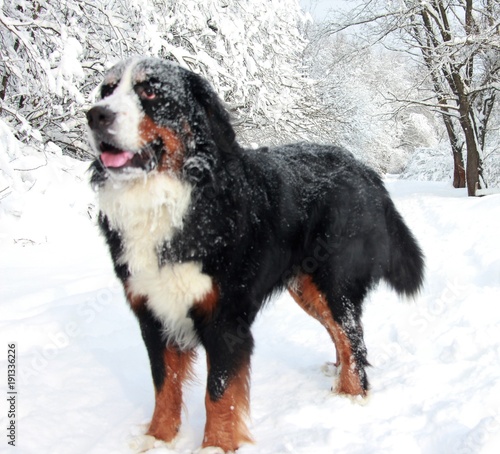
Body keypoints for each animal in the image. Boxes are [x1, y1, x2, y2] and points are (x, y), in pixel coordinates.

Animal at [88, 55, 424, 450]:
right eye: (107, 90)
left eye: (151, 92)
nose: (95, 115)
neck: (168, 200)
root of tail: (364, 167)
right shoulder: (153, 312)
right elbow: (164, 385)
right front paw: (158, 439)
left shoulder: (225, 317)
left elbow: (218, 394)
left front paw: (216, 446)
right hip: (306, 289)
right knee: (340, 336)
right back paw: (339, 378)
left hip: (334, 282)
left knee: (352, 338)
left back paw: (353, 398)